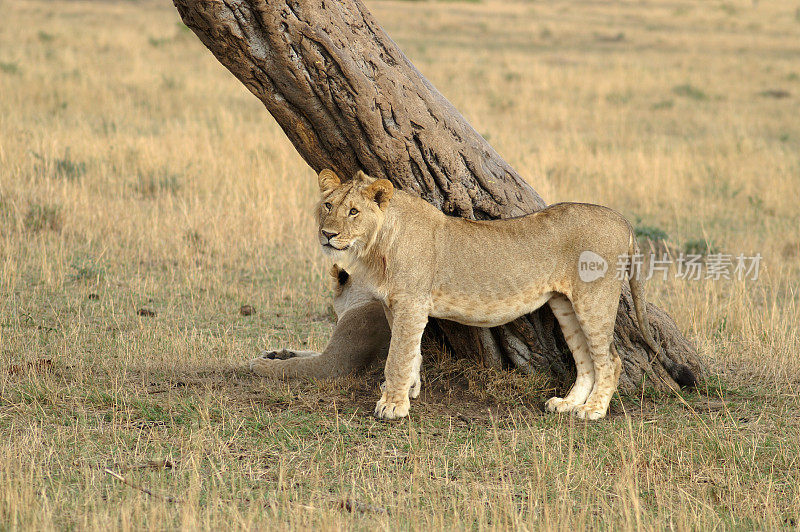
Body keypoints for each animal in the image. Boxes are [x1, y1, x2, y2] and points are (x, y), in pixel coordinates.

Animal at [255, 170, 688, 420]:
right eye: (327, 205)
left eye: (353, 212)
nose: (327, 234)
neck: (377, 247)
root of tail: (621, 219)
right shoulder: (397, 306)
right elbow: (410, 352)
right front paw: (409, 391)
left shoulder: (410, 302)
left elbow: (397, 356)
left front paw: (392, 406)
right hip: (565, 304)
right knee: (585, 360)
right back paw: (567, 404)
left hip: (594, 299)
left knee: (610, 359)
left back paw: (592, 412)